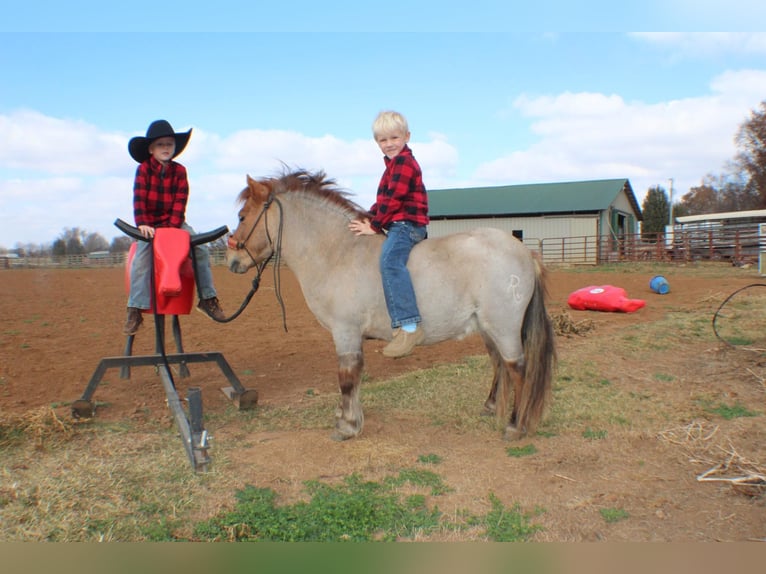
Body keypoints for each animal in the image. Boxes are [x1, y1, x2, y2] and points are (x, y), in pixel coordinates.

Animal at [225, 169, 556, 444]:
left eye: (241, 216)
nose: (232, 260)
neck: (339, 253)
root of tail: (525, 253)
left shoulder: (345, 331)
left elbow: (347, 377)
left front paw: (346, 425)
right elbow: (356, 376)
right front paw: (350, 417)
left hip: (504, 326)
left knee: (517, 369)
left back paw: (514, 425)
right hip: (487, 328)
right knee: (499, 364)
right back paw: (491, 407)